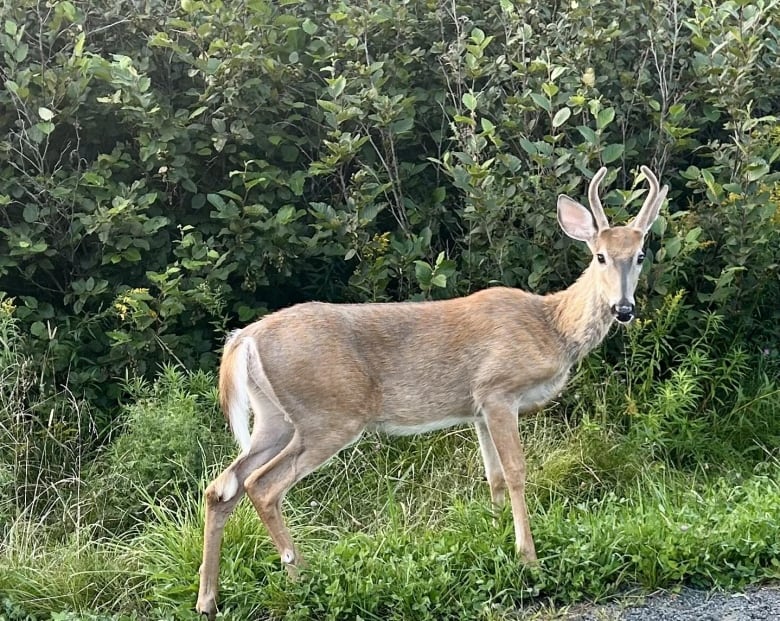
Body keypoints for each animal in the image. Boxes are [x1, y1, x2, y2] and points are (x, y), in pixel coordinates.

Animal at [197, 166, 672, 620]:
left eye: (640, 255)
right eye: (600, 256)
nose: (623, 309)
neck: (551, 326)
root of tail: (246, 338)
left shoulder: (478, 408)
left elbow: (493, 477)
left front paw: (497, 537)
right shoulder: (499, 391)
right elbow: (516, 472)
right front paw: (528, 559)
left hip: (273, 417)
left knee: (221, 486)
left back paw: (208, 599)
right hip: (328, 415)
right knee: (262, 485)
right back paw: (300, 574)